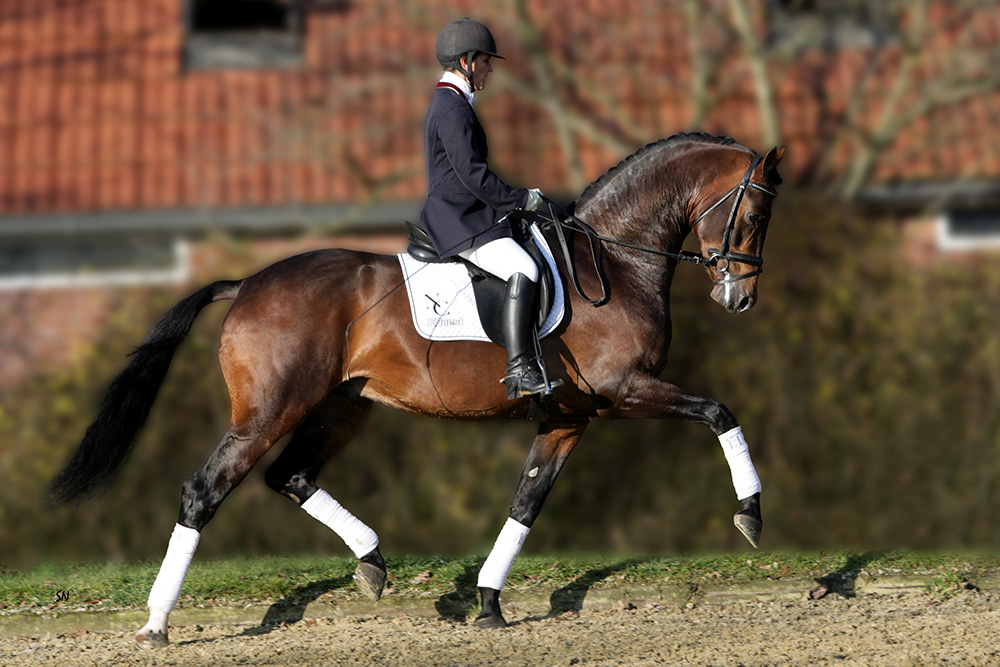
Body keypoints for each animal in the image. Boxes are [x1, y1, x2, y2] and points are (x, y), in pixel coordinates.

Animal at [48, 130, 780, 648]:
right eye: (751, 215)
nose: (740, 298)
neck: (615, 260)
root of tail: (248, 283)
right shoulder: (626, 390)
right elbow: (719, 411)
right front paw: (750, 513)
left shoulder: (570, 416)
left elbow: (526, 503)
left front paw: (487, 602)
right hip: (267, 412)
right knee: (204, 490)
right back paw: (156, 622)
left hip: (340, 409)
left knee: (291, 475)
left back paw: (372, 561)